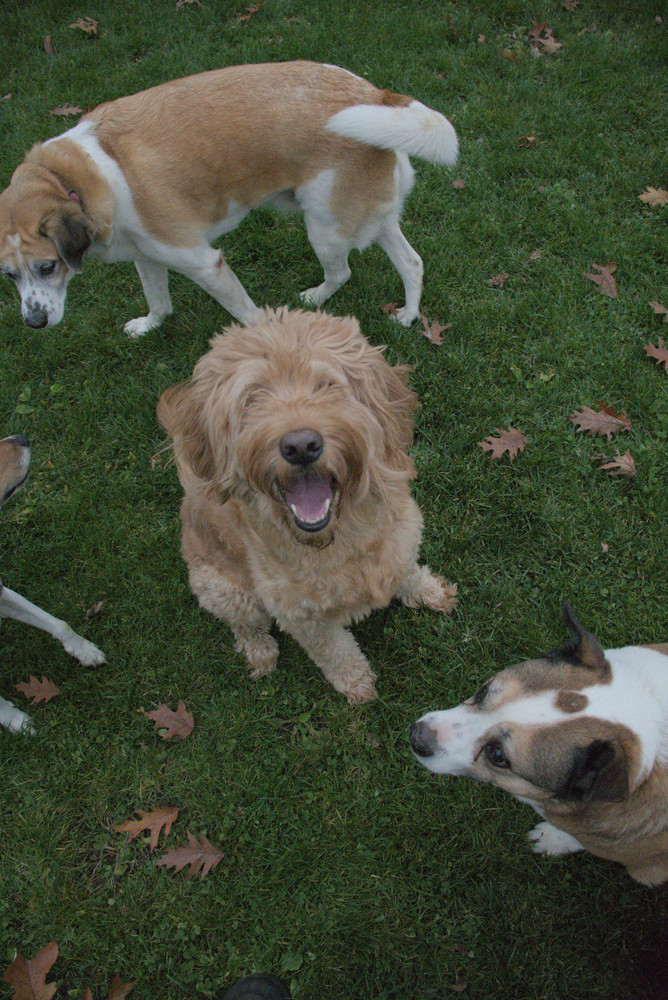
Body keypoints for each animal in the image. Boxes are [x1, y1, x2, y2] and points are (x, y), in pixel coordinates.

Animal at [0, 61, 458, 336]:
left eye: (47, 267)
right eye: (8, 275)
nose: (34, 322)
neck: (70, 179)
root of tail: (374, 94)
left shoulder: (206, 263)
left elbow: (247, 315)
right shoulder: (146, 256)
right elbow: (159, 301)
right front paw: (149, 325)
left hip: (325, 229)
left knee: (343, 272)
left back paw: (316, 297)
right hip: (369, 218)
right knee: (412, 263)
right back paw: (409, 314)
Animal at [157, 308, 457, 703]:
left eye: (326, 386)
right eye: (253, 398)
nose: (300, 446)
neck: (339, 539)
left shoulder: (402, 540)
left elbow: (407, 572)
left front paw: (429, 592)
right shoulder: (301, 617)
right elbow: (335, 651)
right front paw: (356, 683)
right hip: (225, 591)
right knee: (245, 626)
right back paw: (260, 652)